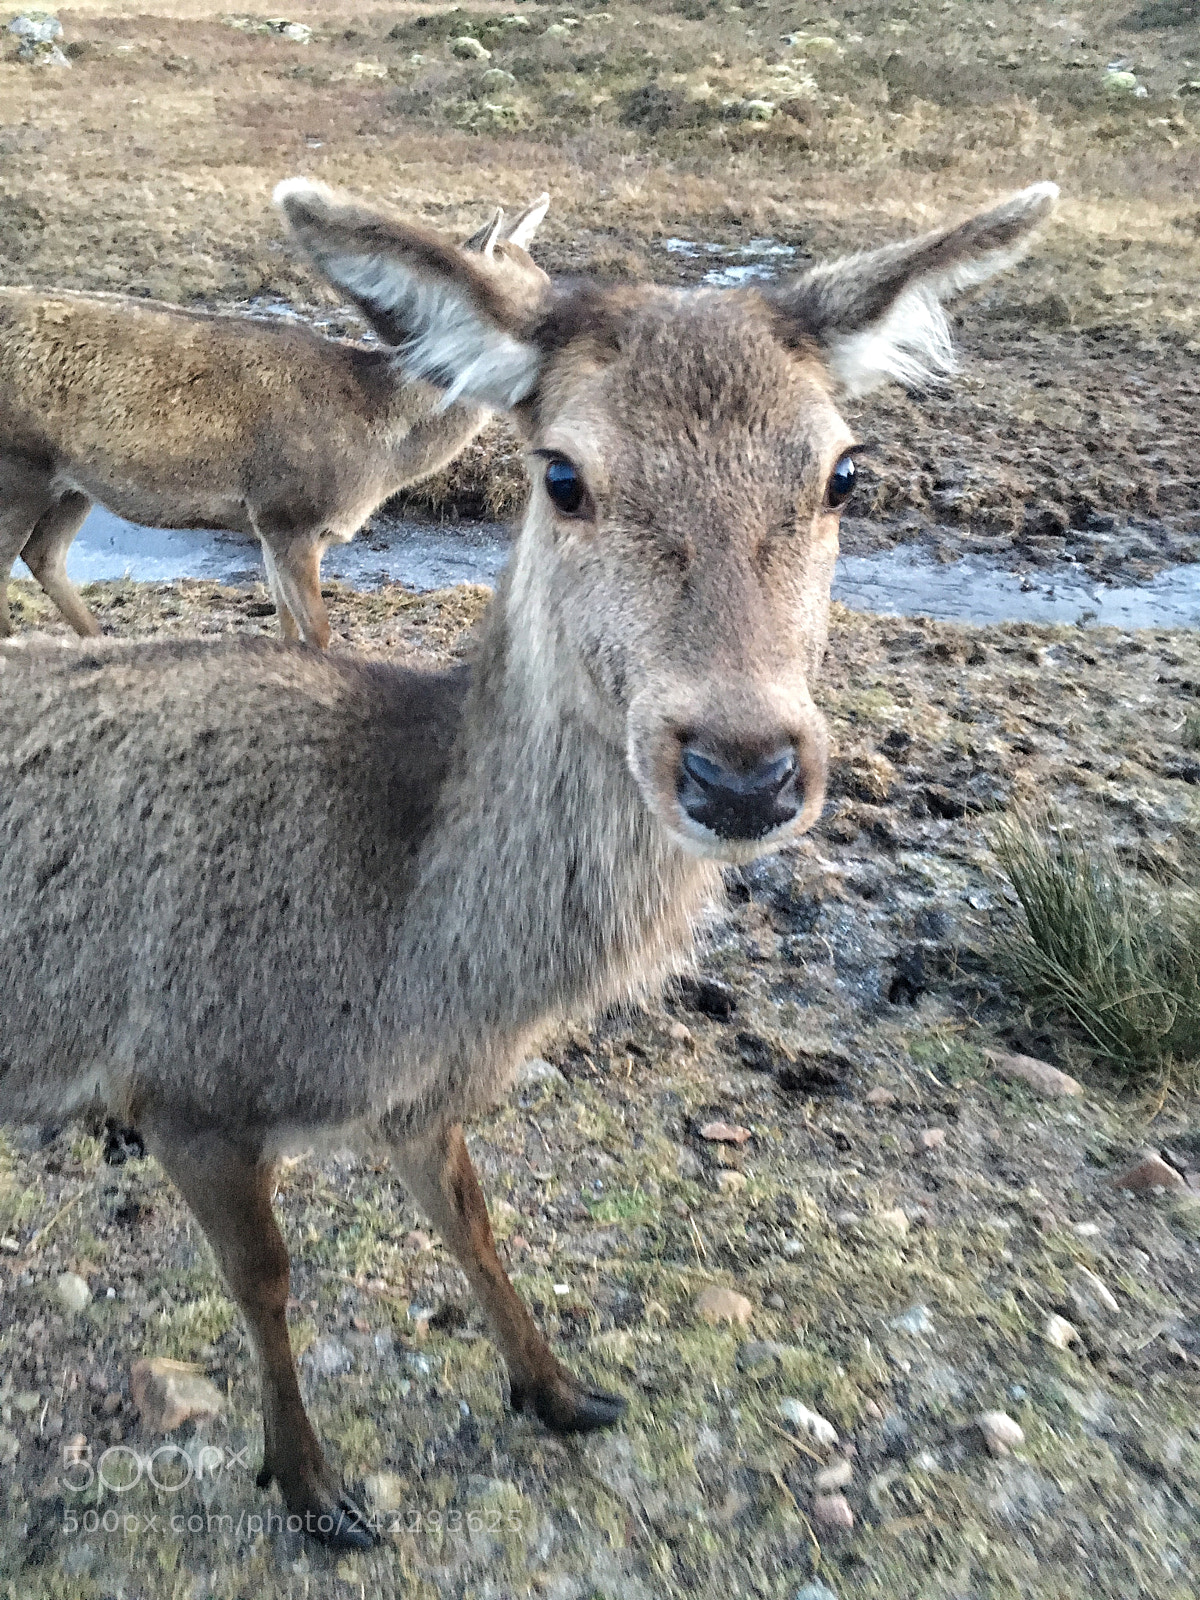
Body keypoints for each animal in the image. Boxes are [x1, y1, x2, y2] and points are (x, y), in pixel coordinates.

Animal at [0, 192, 550, 649]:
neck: (380, 453)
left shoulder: (270, 523)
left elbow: (287, 628)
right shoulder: (290, 510)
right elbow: (318, 634)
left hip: (73, 482)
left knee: (44, 555)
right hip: (20, 466)